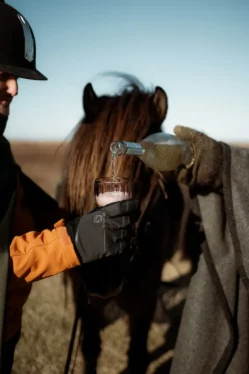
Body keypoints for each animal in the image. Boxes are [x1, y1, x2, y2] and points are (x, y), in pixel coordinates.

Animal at [57, 74, 198, 374]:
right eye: (79, 173)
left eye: (144, 176)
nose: (102, 278)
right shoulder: (83, 298)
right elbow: (90, 347)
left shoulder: (143, 298)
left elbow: (137, 354)